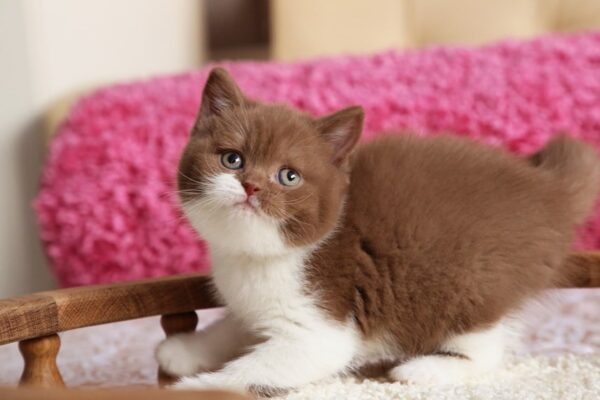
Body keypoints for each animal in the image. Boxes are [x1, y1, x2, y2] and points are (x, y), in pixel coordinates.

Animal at [156, 68, 600, 394]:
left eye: (288, 176)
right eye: (232, 159)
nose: (251, 187)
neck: (257, 256)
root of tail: (548, 189)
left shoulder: (321, 321)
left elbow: (257, 369)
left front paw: (193, 387)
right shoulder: (252, 302)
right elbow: (235, 326)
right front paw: (183, 350)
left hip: (473, 281)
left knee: (487, 346)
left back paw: (425, 370)